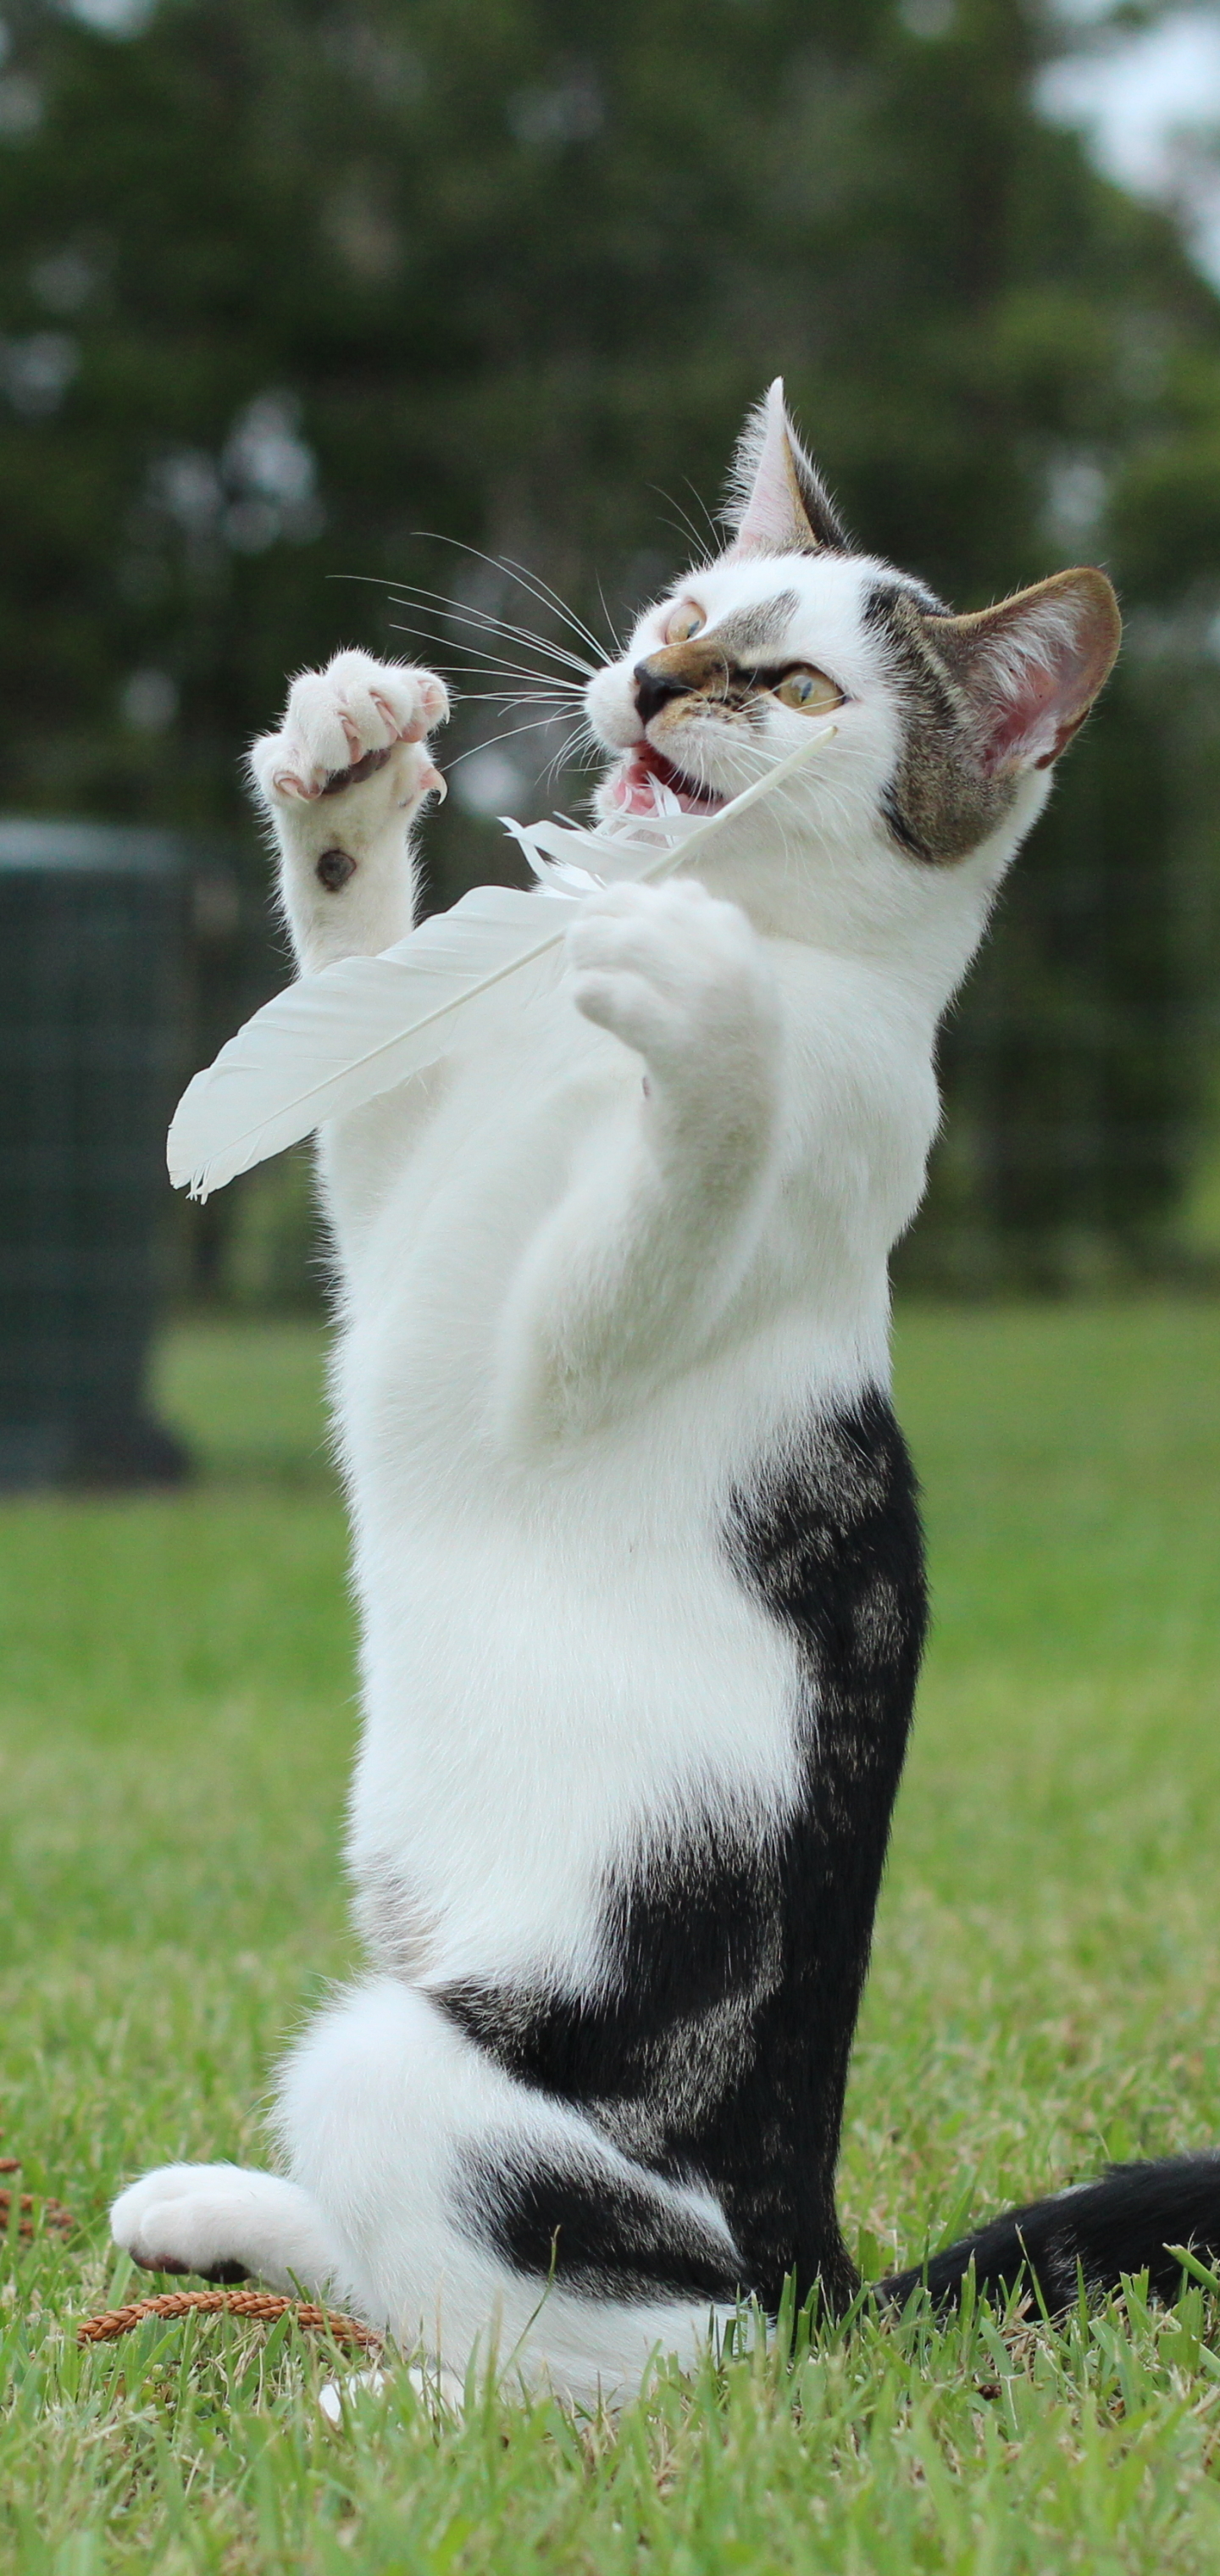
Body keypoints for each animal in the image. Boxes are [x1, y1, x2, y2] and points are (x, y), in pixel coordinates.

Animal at [112, 386, 1220, 2411]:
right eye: (689, 611)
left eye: (789, 685)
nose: (643, 680)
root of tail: (809, 2260)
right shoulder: (399, 1219)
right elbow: (359, 990)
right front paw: (346, 777)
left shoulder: (580, 1335)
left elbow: (698, 1156)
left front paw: (703, 1005)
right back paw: (228, 2222)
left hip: (417, 2073)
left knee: (631, 2363)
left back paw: (391, 2409)